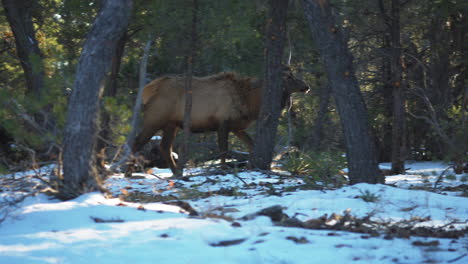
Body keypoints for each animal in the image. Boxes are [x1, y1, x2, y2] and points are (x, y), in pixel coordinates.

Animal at [130, 67, 308, 175]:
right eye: (289, 77)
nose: (306, 86)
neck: (250, 102)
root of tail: (148, 90)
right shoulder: (223, 123)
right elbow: (223, 150)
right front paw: (223, 169)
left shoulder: (237, 127)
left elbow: (251, 146)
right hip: (155, 119)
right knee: (137, 142)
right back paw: (128, 172)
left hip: (171, 124)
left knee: (165, 147)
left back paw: (177, 173)